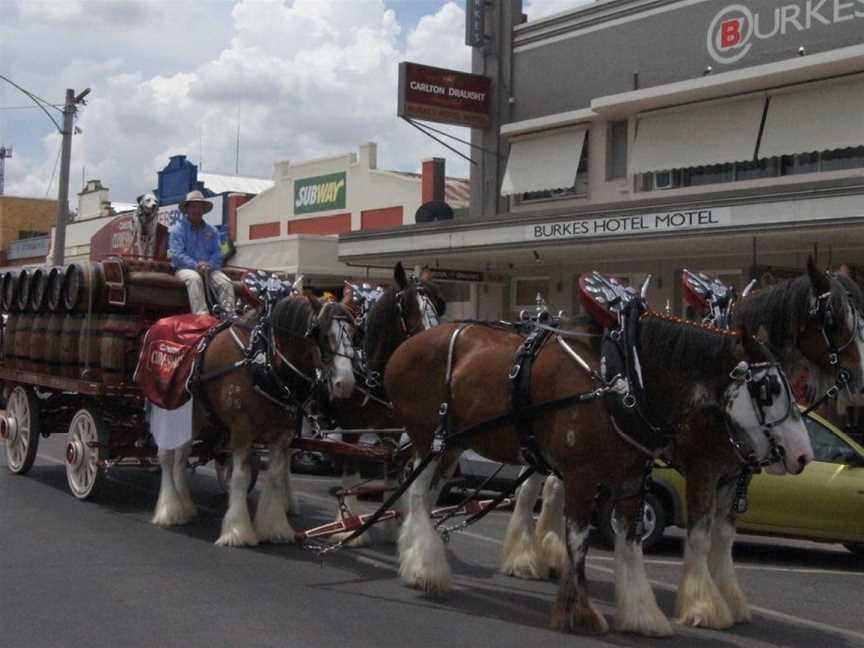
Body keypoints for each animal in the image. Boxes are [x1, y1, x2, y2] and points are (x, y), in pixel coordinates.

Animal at [153, 294, 358, 548]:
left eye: (354, 334)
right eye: (324, 334)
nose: (345, 383)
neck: (263, 362)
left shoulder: (282, 434)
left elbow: (275, 478)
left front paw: (275, 527)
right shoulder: (242, 428)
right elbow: (240, 477)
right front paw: (237, 531)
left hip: (195, 419)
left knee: (181, 457)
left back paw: (184, 505)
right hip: (168, 409)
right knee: (166, 457)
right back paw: (168, 510)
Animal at [384, 316, 808, 636]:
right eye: (769, 388)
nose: (803, 454)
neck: (622, 382)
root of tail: (404, 347)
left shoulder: (633, 480)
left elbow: (632, 543)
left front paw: (642, 613)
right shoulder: (586, 476)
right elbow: (579, 540)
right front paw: (577, 611)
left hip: (451, 447)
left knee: (424, 498)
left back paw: (413, 556)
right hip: (430, 441)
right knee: (417, 496)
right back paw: (425, 568)